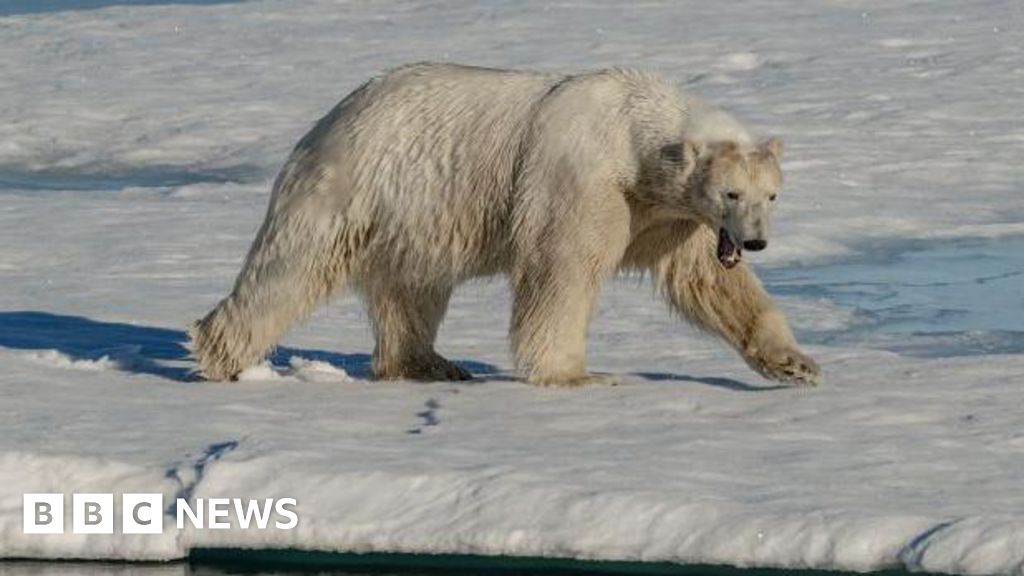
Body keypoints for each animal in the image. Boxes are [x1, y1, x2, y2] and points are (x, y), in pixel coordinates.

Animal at [188, 62, 819, 385]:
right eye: (731, 192)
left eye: (771, 194)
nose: (754, 241)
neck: (633, 133)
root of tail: (327, 120)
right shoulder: (581, 179)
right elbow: (561, 269)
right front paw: (576, 374)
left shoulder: (669, 214)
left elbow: (708, 283)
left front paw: (796, 364)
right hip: (352, 187)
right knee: (288, 271)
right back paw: (220, 356)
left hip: (414, 217)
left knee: (413, 288)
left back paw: (429, 364)